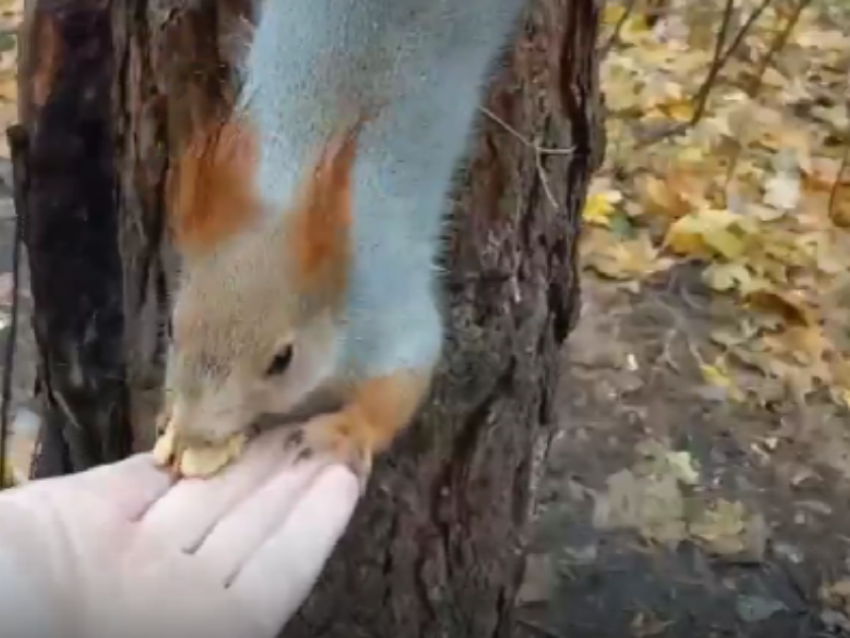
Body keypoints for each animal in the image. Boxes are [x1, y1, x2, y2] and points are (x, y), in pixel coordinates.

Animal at [154, 0, 524, 480]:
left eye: (282, 360)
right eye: (171, 327)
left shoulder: (384, 305)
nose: (195, 431)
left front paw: (347, 430)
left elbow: (406, 370)